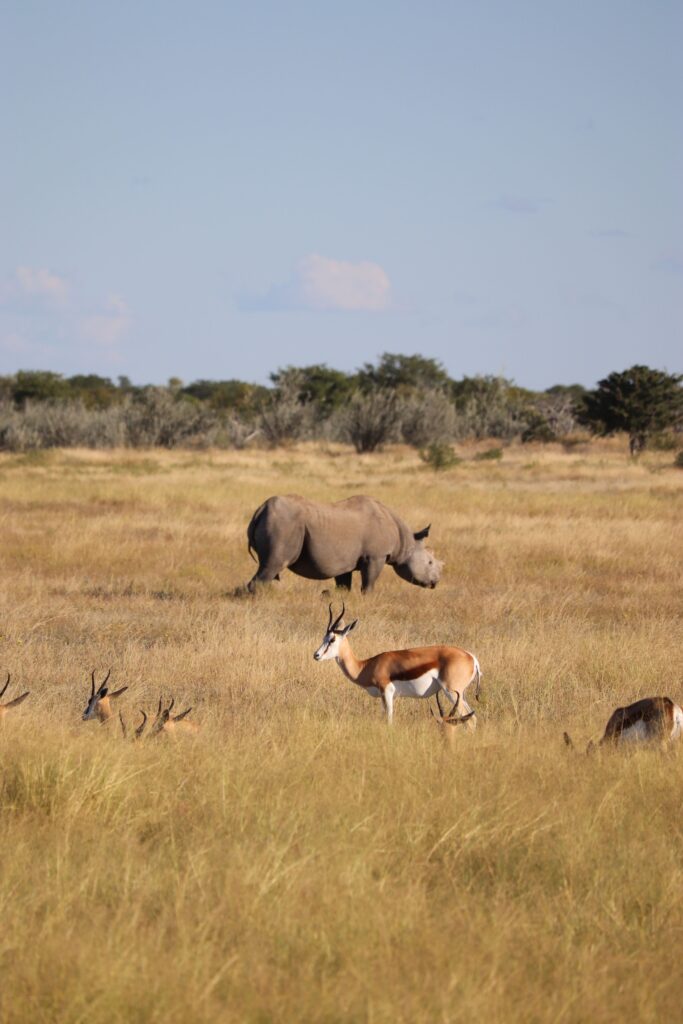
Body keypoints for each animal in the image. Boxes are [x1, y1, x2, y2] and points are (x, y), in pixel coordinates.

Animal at [244, 494, 443, 593]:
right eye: (430, 562)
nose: (436, 582)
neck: (406, 542)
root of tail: (260, 509)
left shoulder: (344, 562)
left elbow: (343, 586)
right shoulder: (376, 556)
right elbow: (369, 583)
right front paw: (368, 599)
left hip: (279, 522)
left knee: (270, 569)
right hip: (283, 524)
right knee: (273, 565)